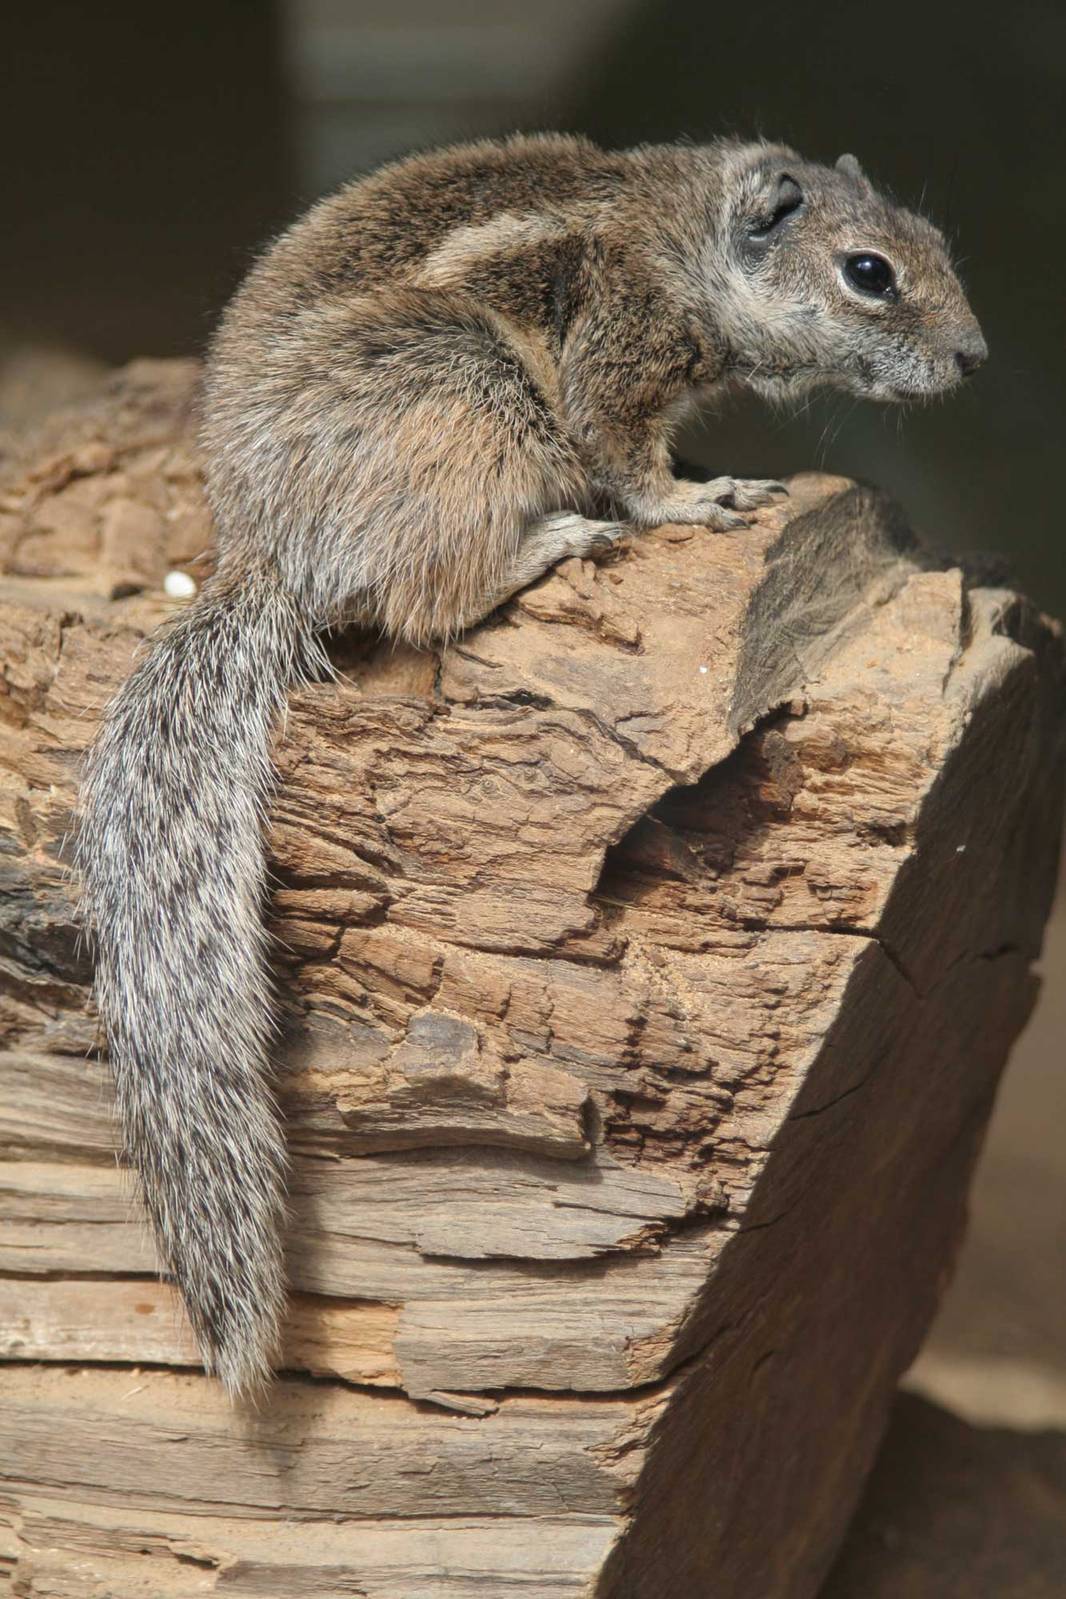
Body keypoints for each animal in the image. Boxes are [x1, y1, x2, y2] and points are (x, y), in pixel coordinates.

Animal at [77, 132, 986, 1397]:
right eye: (868, 273)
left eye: (934, 243)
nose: (974, 358)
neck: (688, 237)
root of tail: (265, 557)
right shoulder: (619, 353)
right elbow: (627, 455)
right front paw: (698, 498)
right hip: (471, 398)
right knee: (428, 597)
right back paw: (553, 540)